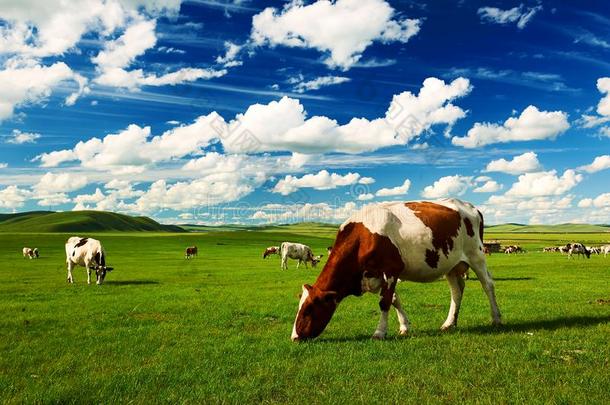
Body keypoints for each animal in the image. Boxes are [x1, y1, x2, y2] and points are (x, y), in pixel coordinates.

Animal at [290, 199, 498, 340]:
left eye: (308, 309)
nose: (294, 337)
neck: (363, 237)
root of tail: (471, 207)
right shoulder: (377, 275)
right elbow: (395, 300)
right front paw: (404, 326)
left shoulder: (390, 270)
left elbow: (385, 302)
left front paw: (379, 332)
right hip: (451, 264)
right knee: (456, 291)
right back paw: (449, 323)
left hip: (476, 255)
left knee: (488, 284)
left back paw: (496, 319)